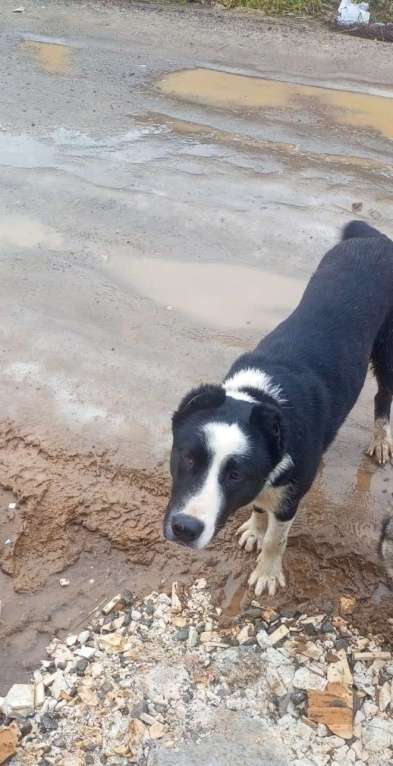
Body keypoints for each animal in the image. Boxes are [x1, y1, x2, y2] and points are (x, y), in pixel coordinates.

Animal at [162, 224, 392, 600]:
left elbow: (276, 539)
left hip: (387, 351)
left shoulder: (288, 500)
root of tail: (375, 238)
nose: (184, 528)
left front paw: (266, 573)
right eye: (188, 458)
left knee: (383, 396)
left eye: (235, 475)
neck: (261, 396)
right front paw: (255, 529)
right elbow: (259, 507)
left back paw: (381, 439)